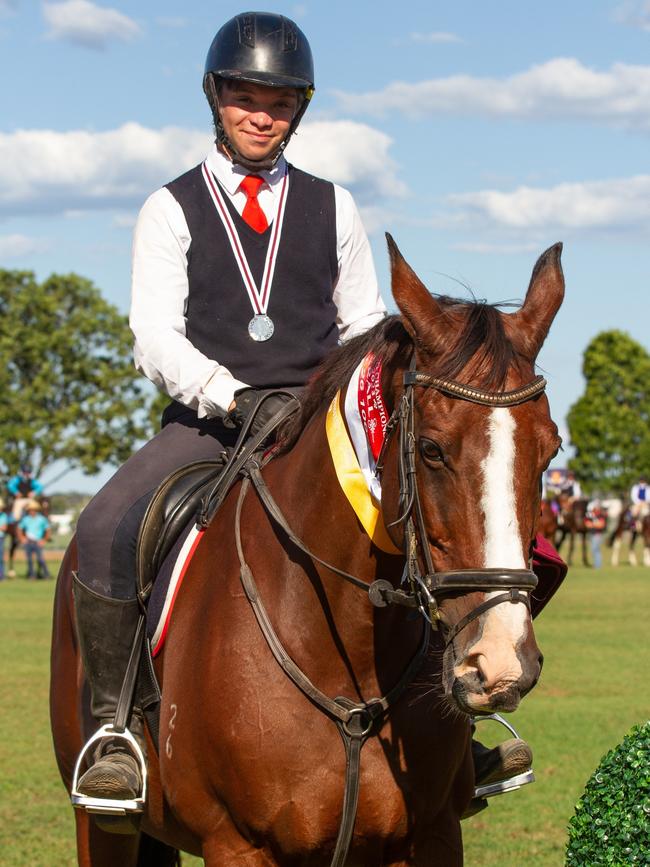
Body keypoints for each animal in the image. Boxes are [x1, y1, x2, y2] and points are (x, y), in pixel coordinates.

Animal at [49, 237, 560, 867]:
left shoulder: (433, 835)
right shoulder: (238, 845)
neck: (344, 650)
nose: (500, 662)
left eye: (550, 449)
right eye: (432, 450)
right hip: (99, 823)